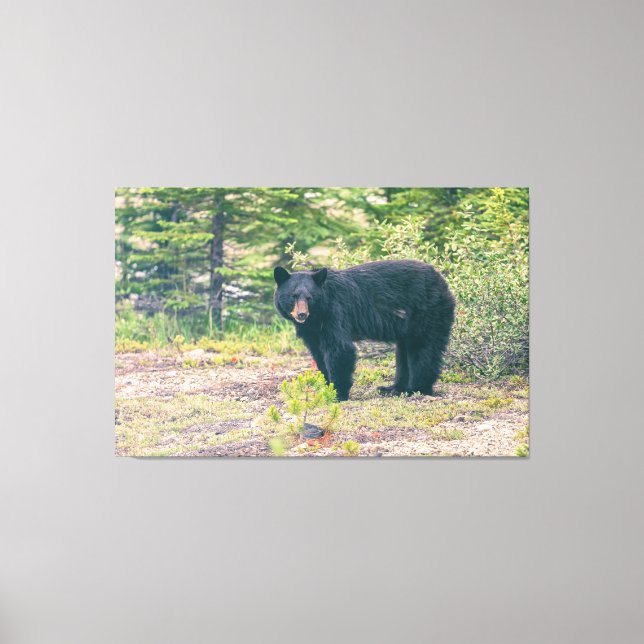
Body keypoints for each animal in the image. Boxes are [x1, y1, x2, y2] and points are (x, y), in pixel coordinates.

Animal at [273, 259, 455, 401]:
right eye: (293, 296)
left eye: (309, 297)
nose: (302, 314)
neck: (317, 316)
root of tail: (442, 281)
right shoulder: (311, 331)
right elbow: (318, 353)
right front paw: (327, 385)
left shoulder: (335, 313)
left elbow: (340, 349)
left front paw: (338, 393)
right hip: (407, 324)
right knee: (403, 351)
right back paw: (393, 388)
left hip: (426, 312)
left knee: (423, 349)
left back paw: (416, 388)